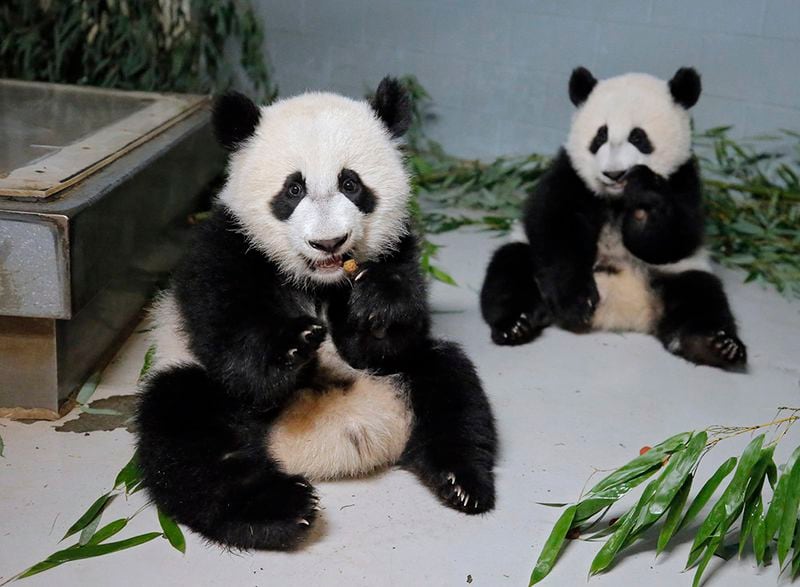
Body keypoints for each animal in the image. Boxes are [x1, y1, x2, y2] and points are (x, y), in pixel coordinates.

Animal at [137, 78, 496, 552]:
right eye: (293, 190)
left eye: (351, 183)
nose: (329, 242)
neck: (318, 282)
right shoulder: (225, 251)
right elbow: (236, 356)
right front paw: (291, 343)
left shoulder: (399, 249)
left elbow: (388, 335)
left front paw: (375, 303)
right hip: (188, 377)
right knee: (188, 434)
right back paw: (281, 510)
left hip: (412, 378)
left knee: (450, 384)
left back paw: (461, 481)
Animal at [482, 69, 752, 370]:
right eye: (600, 136)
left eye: (639, 137)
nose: (614, 174)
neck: (616, 198)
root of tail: (624, 309)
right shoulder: (570, 174)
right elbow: (555, 225)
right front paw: (576, 302)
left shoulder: (683, 181)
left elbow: (675, 238)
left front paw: (643, 200)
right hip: (526, 256)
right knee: (509, 272)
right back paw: (515, 325)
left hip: (680, 273)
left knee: (702, 301)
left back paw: (717, 345)